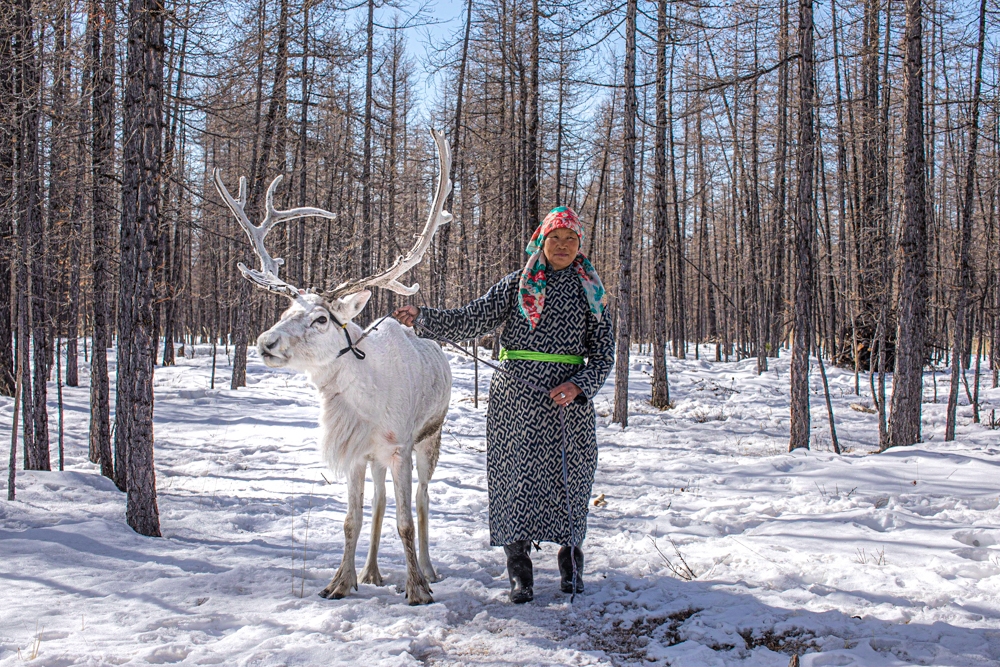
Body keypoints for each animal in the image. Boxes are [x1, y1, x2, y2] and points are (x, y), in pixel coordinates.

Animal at [213, 129, 454, 606]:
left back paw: (428, 569)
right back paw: (373, 571)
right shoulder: (358, 452)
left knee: (421, 500)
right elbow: (352, 520)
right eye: (287, 307)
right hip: (378, 459)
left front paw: (416, 589)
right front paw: (341, 582)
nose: (265, 342)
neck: (363, 401)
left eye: (322, 319)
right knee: (379, 503)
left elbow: (404, 521)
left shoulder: (400, 448)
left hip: (430, 440)